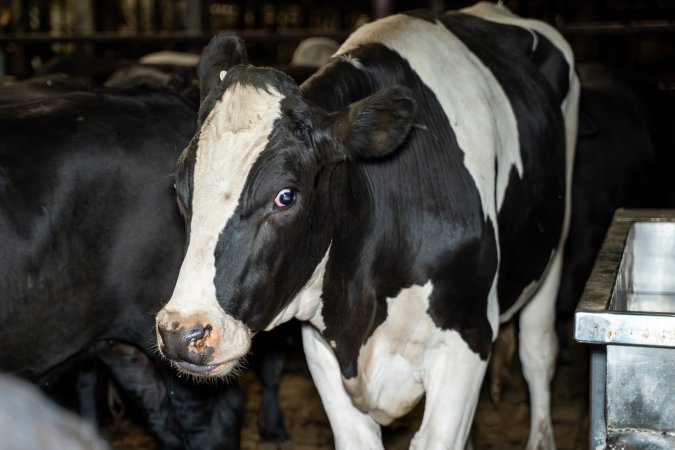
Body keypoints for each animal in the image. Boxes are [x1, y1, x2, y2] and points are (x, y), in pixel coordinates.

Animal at [156, 2, 580, 446]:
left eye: (285, 196)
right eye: (179, 186)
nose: (182, 333)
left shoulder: (467, 338)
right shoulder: (323, 348)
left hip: (553, 246)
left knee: (538, 353)